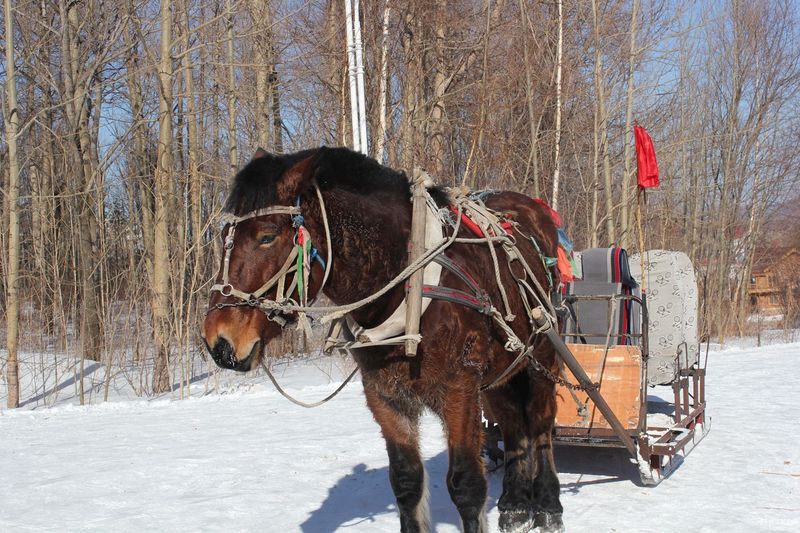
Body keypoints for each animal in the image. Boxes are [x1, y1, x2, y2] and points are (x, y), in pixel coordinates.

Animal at [200, 147, 564, 532]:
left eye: (267, 236)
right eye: (223, 235)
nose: (219, 341)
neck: (407, 288)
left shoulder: (460, 389)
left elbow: (467, 485)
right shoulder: (385, 396)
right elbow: (406, 482)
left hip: (542, 356)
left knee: (541, 424)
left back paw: (547, 504)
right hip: (503, 371)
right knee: (512, 422)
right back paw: (515, 505)